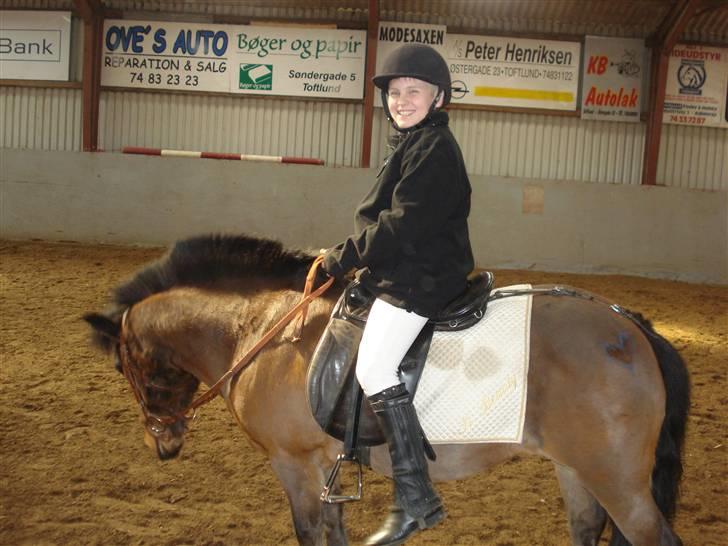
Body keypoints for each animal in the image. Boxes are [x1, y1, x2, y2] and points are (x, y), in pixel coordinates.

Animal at [83, 234, 689, 546]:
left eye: (123, 368)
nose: (162, 444)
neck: (260, 330)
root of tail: (630, 326)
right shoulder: (320, 467)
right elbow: (333, 532)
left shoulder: (292, 462)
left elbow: (309, 531)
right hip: (576, 467)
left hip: (617, 479)